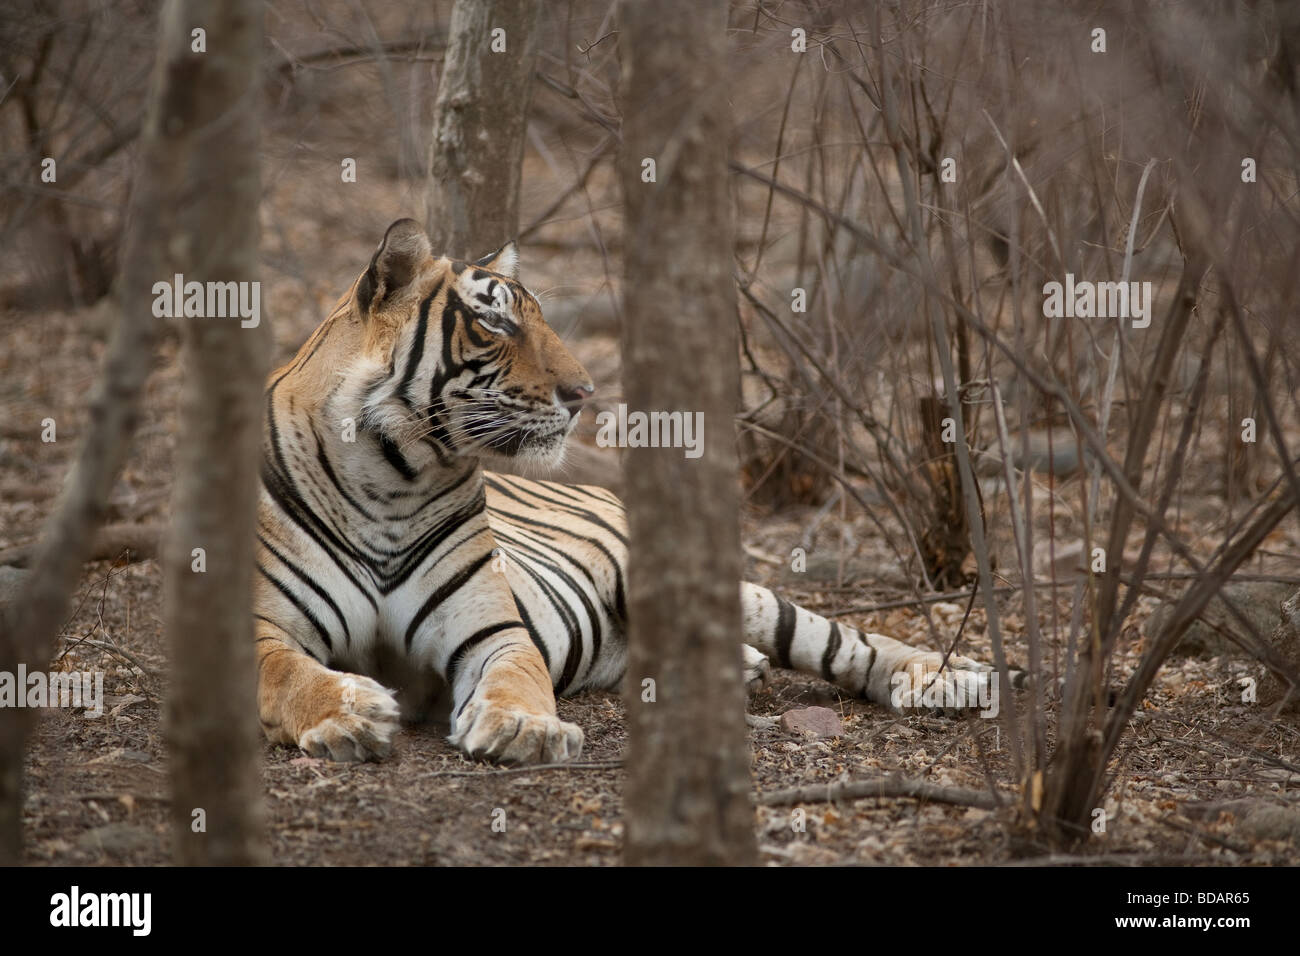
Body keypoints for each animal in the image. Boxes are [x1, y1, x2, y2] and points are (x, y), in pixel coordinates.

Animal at [250, 221, 1003, 764]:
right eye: (495, 323)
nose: (584, 393)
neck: (394, 476)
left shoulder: (491, 630)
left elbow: (517, 676)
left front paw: (524, 728)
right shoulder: (261, 629)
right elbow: (290, 678)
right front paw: (352, 712)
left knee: (849, 641)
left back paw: (946, 678)